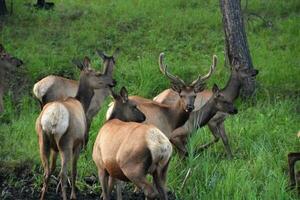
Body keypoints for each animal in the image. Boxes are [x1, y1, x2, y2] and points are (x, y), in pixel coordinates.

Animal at [35, 56, 115, 200]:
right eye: (98, 73)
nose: (113, 82)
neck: (82, 102)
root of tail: (52, 119)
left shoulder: (54, 149)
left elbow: (53, 168)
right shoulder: (78, 143)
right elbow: (74, 169)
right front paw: (73, 194)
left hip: (43, 140)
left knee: (46, 171)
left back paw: (42, 196)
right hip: (66, 143)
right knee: (63, 173)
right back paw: (66, 196)